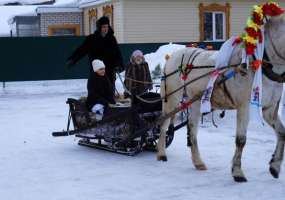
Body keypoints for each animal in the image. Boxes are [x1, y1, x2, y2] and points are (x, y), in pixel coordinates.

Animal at [158, 14, 284, 182]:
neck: (259, 63)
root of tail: (171, 57)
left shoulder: (269, 109)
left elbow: (282, 133)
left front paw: (275, 166)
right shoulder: (244, 107)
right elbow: (241, 140)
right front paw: (237, 172)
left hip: (196, 101)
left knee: (192, 128)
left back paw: (198, 162)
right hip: (172, 98)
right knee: (164, 124)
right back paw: (161, 153)